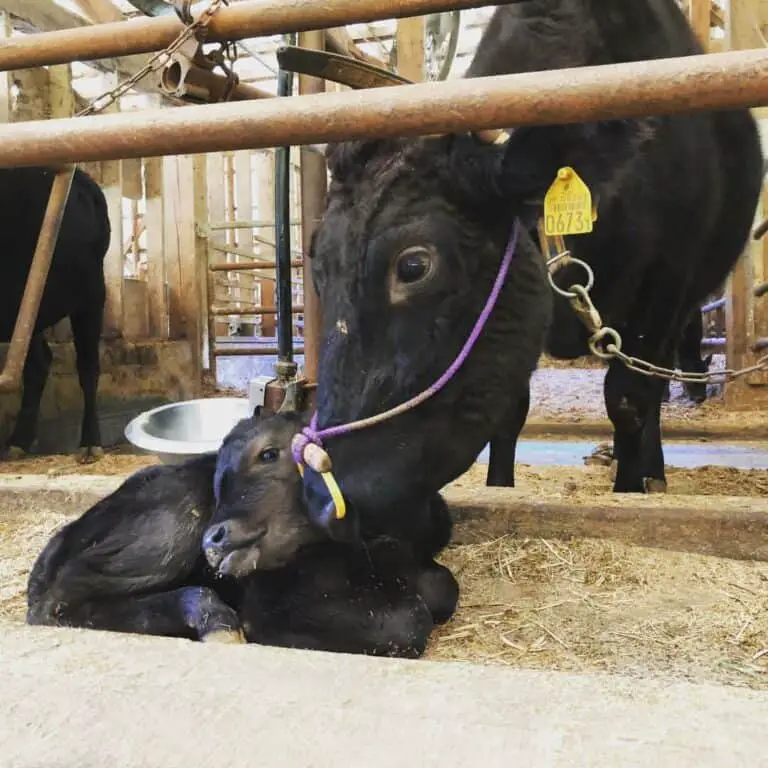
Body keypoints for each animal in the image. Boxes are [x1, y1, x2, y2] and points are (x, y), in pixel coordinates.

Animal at [0, 167, 110, 463]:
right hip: (29, 310)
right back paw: (18, 441)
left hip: (91, 294)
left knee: (88, 367)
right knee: (38, 364)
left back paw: (90, 443)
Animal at [27, 410, 458, 657]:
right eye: (219, 473)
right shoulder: (269, 597)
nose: (212, 540)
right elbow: (408, 621)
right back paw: (213, 617)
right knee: (60, 601)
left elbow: (443, 587)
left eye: (268, 454)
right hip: (169, 526)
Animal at [297, 0, 763, 538]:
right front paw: (500, 487)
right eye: (316, 261)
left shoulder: (666, 287)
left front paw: (628, 492)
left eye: (413, 266)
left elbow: (628, 399)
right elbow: (510, 414)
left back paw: (655, 473)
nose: (322, 498)